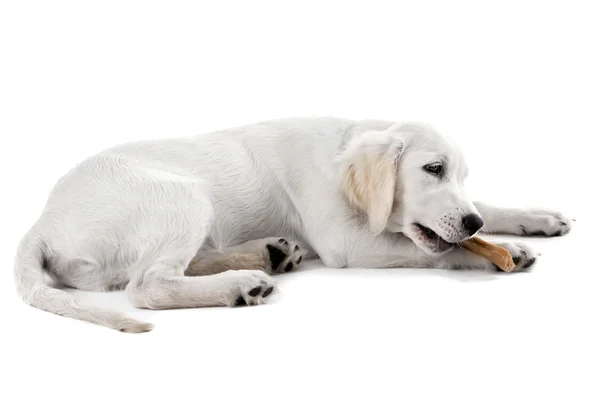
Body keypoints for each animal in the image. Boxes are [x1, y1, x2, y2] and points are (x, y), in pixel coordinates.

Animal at [11, 117, 568, 332]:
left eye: (460, 175)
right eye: (432, 169)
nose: (471, 220)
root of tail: (41, 221)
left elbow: (484, 212)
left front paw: (534, 218)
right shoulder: (348, 242)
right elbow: (446, 249)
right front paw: (503, 252)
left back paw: (269, 254)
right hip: (182, 196)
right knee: (148, 285)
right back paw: (242, 283)